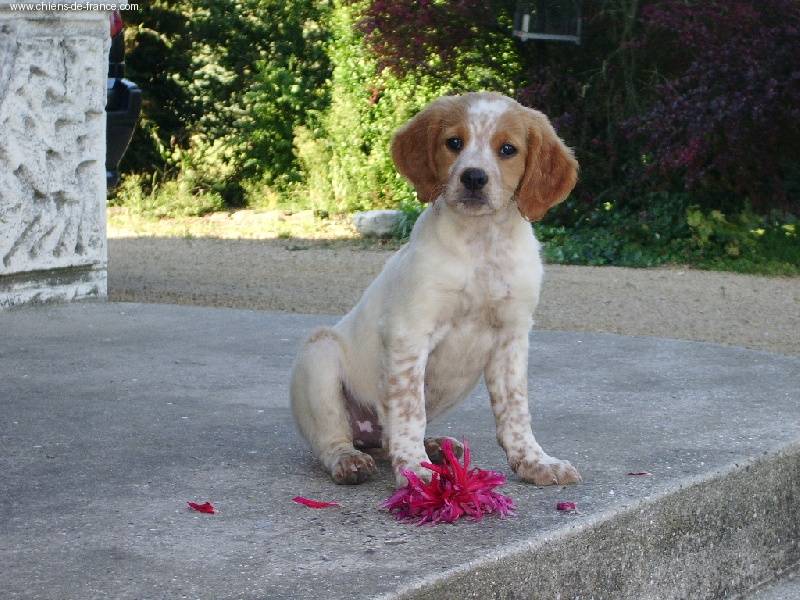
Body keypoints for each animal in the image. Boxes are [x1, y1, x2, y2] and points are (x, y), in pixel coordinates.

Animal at [290, 92, 580, 488]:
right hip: (319, 356)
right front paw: (416, 473)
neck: (481, 244)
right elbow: (409, 411)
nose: (473, 177)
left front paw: (535, 461)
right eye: (453, 143)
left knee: (385, 438)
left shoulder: (512, 338)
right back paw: (350, 460)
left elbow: (516, 412)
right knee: (334, 437)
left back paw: (436, 446)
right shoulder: (409, 333)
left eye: (508, 149)